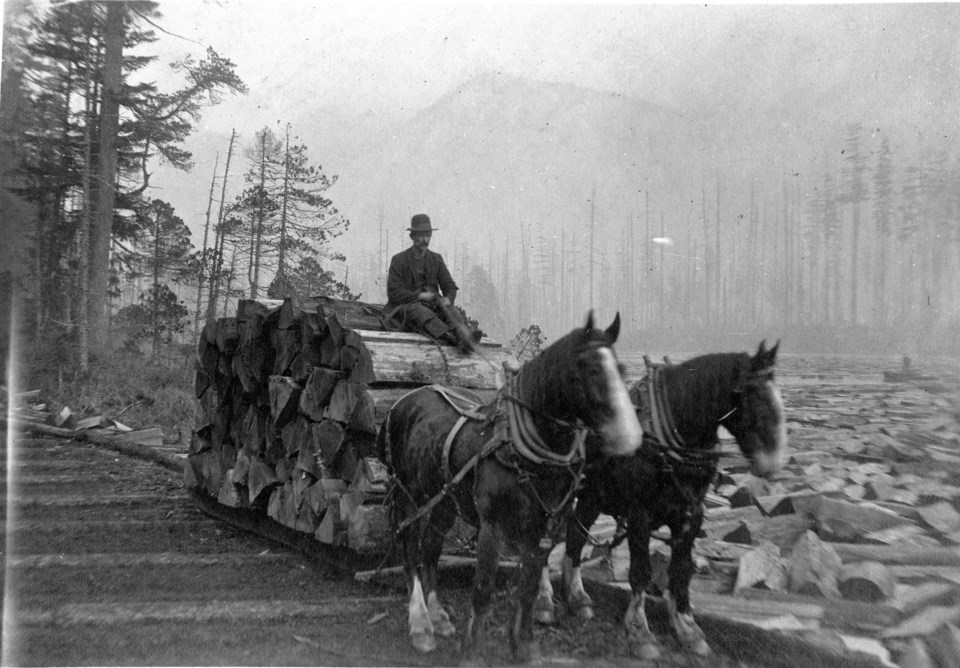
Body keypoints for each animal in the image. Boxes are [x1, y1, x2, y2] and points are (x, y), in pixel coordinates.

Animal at [378, 316, 640, 660]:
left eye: (621, 369)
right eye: (593, 369)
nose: (630, 436)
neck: (523, 454)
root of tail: (404, 401)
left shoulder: (542, 532)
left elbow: (527, 591)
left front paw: (523, 646)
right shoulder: (493, 528)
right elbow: (483, 590)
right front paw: (472, 650)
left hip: (445, 500)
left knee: (431, 547)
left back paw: (438, 615)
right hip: (410, 496)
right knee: (411, 551)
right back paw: (420, 623)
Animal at [532, 344, 788, 656]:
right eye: (752, 394)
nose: (773, 463)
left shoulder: (691, 515)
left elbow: (681, 572)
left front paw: (686, 626)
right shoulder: (640, 515)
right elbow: (641, 572)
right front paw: (639, 630)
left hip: (593, 496)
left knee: (575, 536)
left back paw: (577, 596)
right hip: (553, 495)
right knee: (546, 544)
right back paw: (543, 600)